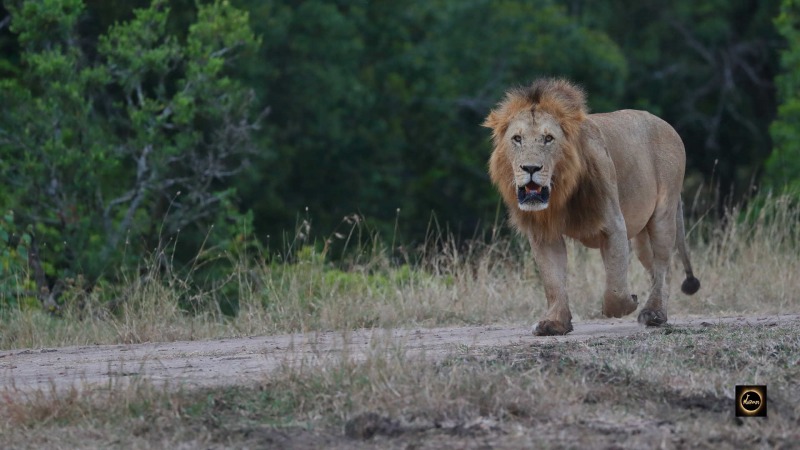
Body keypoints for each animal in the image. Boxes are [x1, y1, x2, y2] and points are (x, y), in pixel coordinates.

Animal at [484, 79, 700, 336]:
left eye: (549, 139)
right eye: (517, 138)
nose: (530, 168)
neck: (560, 192)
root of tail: (667, 125)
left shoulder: (613, 224)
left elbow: (615, 287)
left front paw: (627, 303)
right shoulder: (543, 235)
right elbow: (553, 281)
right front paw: (555, 323)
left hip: (662, 215)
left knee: (663, 265)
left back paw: (653, 313)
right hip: (641, 237)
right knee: (658, 271)